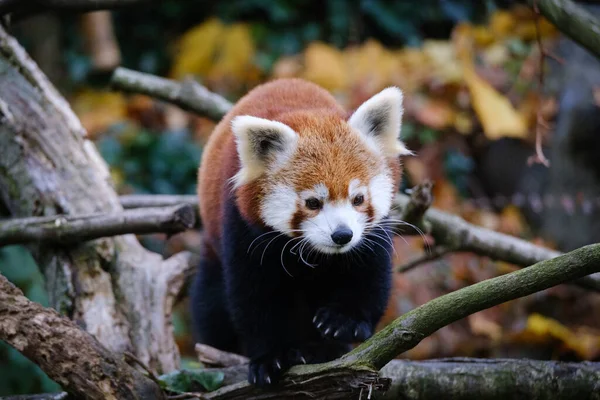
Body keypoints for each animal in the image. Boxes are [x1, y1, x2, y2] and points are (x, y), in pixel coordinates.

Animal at [192, 77, 412, 388]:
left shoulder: (371, 234)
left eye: (358, 199)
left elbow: (370, 276)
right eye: (313, 203)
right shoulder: (243, 226)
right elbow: (254, 297)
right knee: (211, 306)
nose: (342, 235)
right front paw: (270, 358)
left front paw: (341, 321)